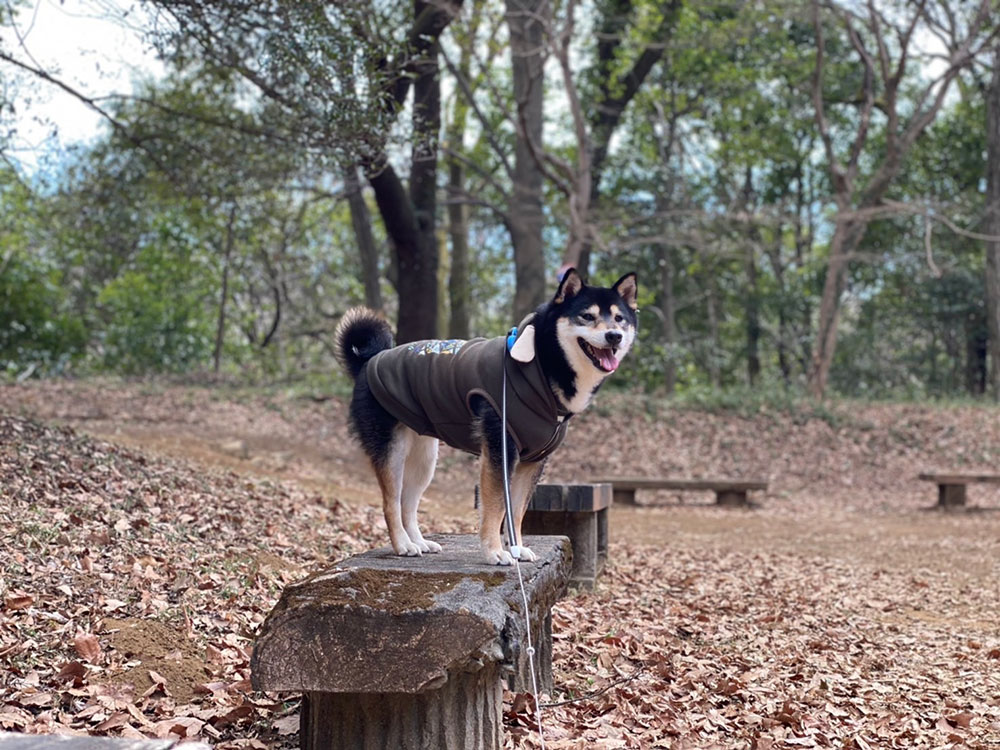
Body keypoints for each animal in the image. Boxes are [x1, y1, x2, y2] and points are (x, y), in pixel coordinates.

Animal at [332, 268, 636, 568]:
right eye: (587, 316)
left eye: (619, 319)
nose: (614, 336)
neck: (540, 362)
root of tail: (368, 361)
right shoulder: (499, 452)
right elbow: (496, 507)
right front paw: (494, 552)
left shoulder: (533, 461)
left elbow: (517, 511)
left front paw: (517, 548)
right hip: (392, 450)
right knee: (391, 503)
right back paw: (403, 545)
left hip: (424, 459)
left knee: (409, 504)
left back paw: (419, 541)